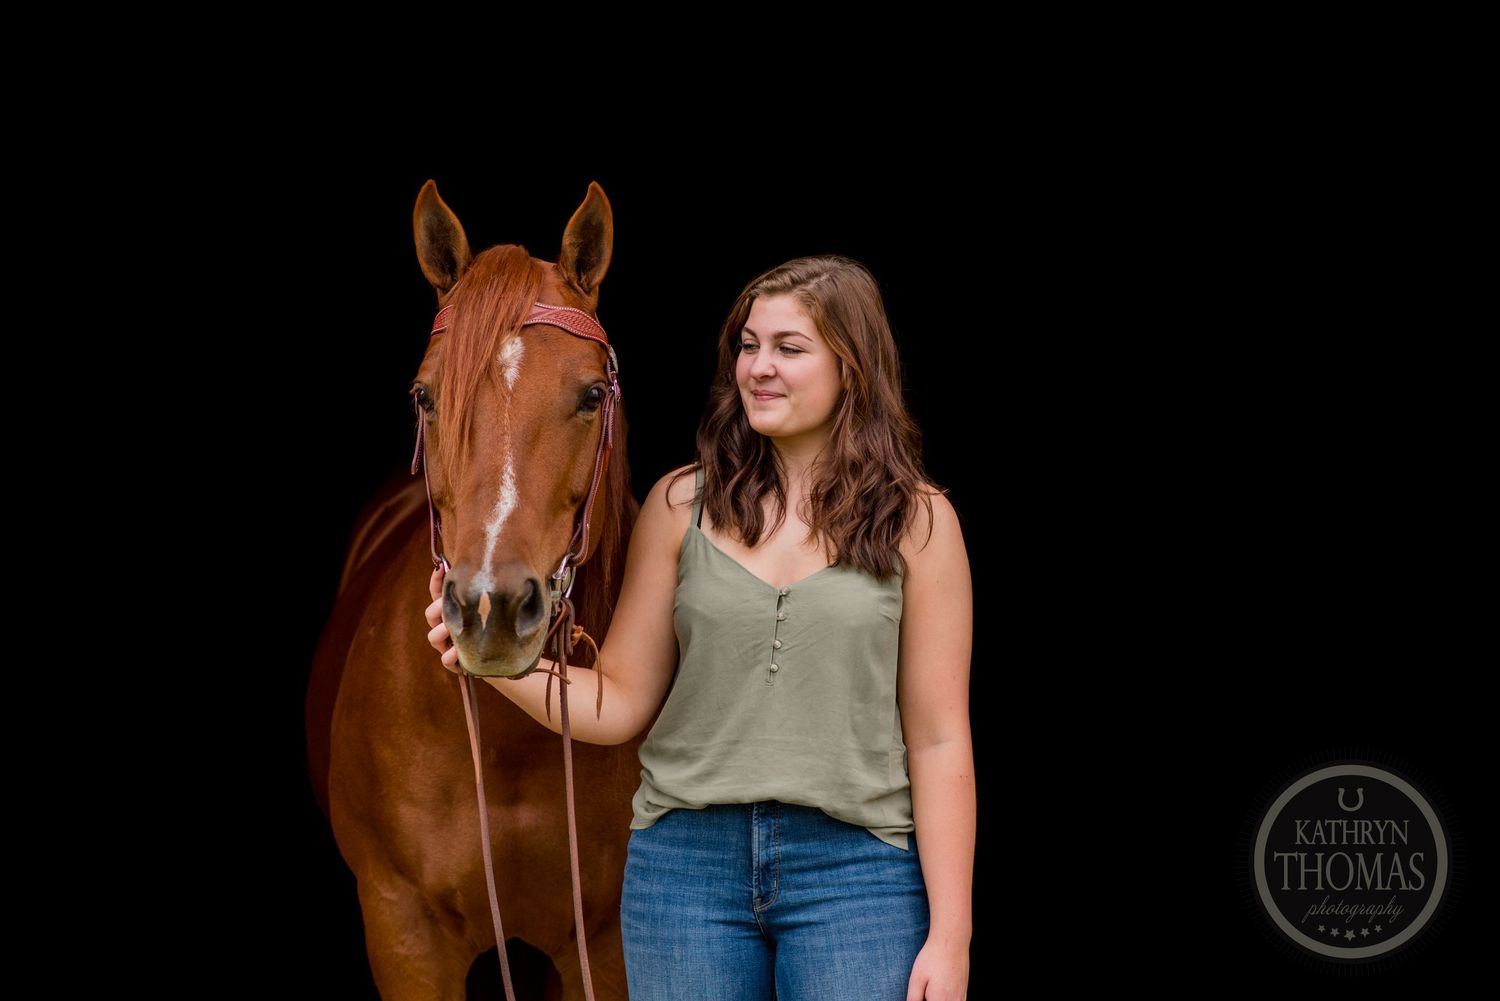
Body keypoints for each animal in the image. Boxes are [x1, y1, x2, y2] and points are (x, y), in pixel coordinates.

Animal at [305, 179, 642, 1000]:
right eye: (425, 396)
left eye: (592, 394)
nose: (493, 607)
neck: (506, 738)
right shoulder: (404, 932)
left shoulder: (606, 942)